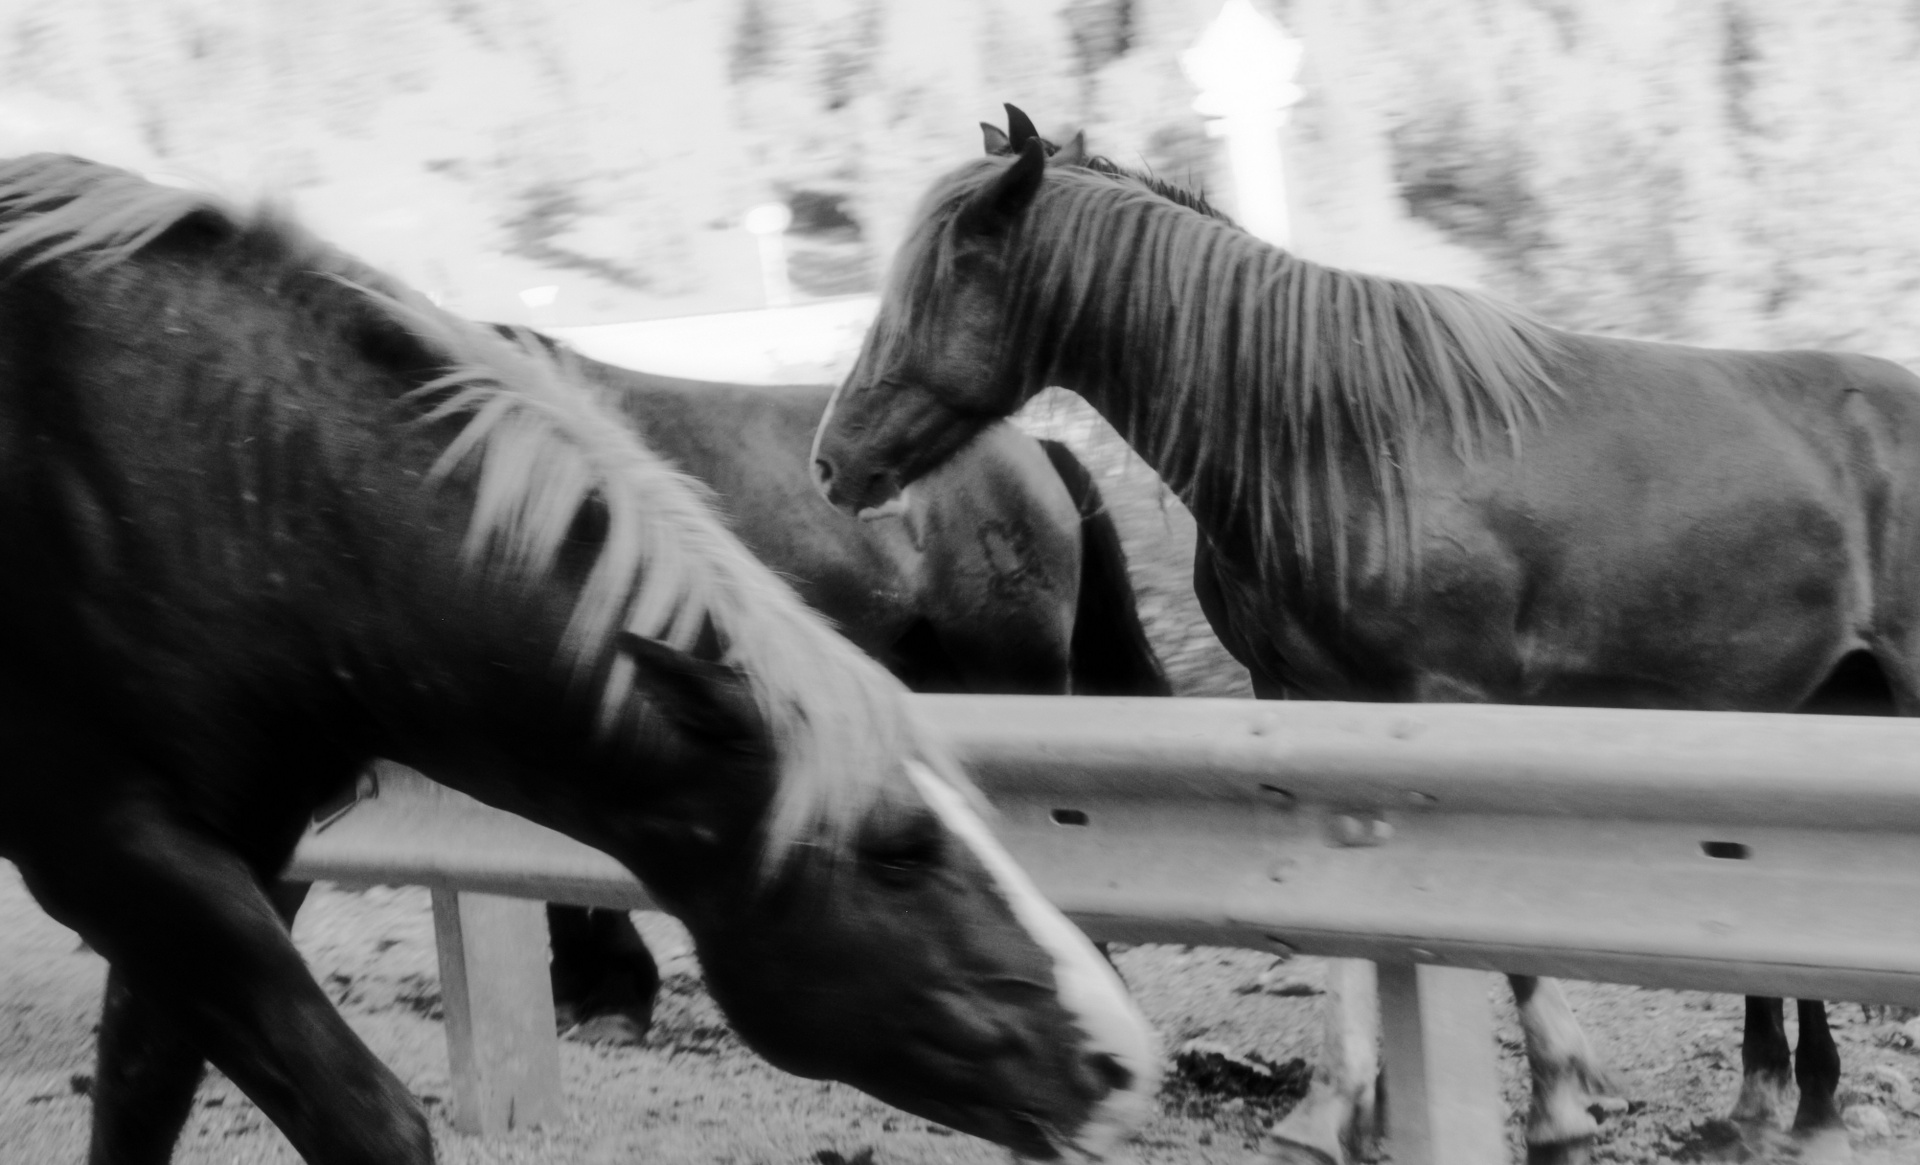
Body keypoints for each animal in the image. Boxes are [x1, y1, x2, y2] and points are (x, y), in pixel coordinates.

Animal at [0, 151, 1160, 1165]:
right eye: (896, 850)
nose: (1114, 1063)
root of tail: (1035, 449)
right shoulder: (126, 850)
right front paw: (605, 989)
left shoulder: (217, 861)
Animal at [807, 116, 1920, 1164]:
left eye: (952, 270)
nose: (833, 460)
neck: (1337, 445)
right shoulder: (1307, 704)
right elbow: (1341, 916)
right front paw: (1335, 1107)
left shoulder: (1446, 707)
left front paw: (1557, 1105)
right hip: (1812, 701)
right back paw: (1790, 1100)